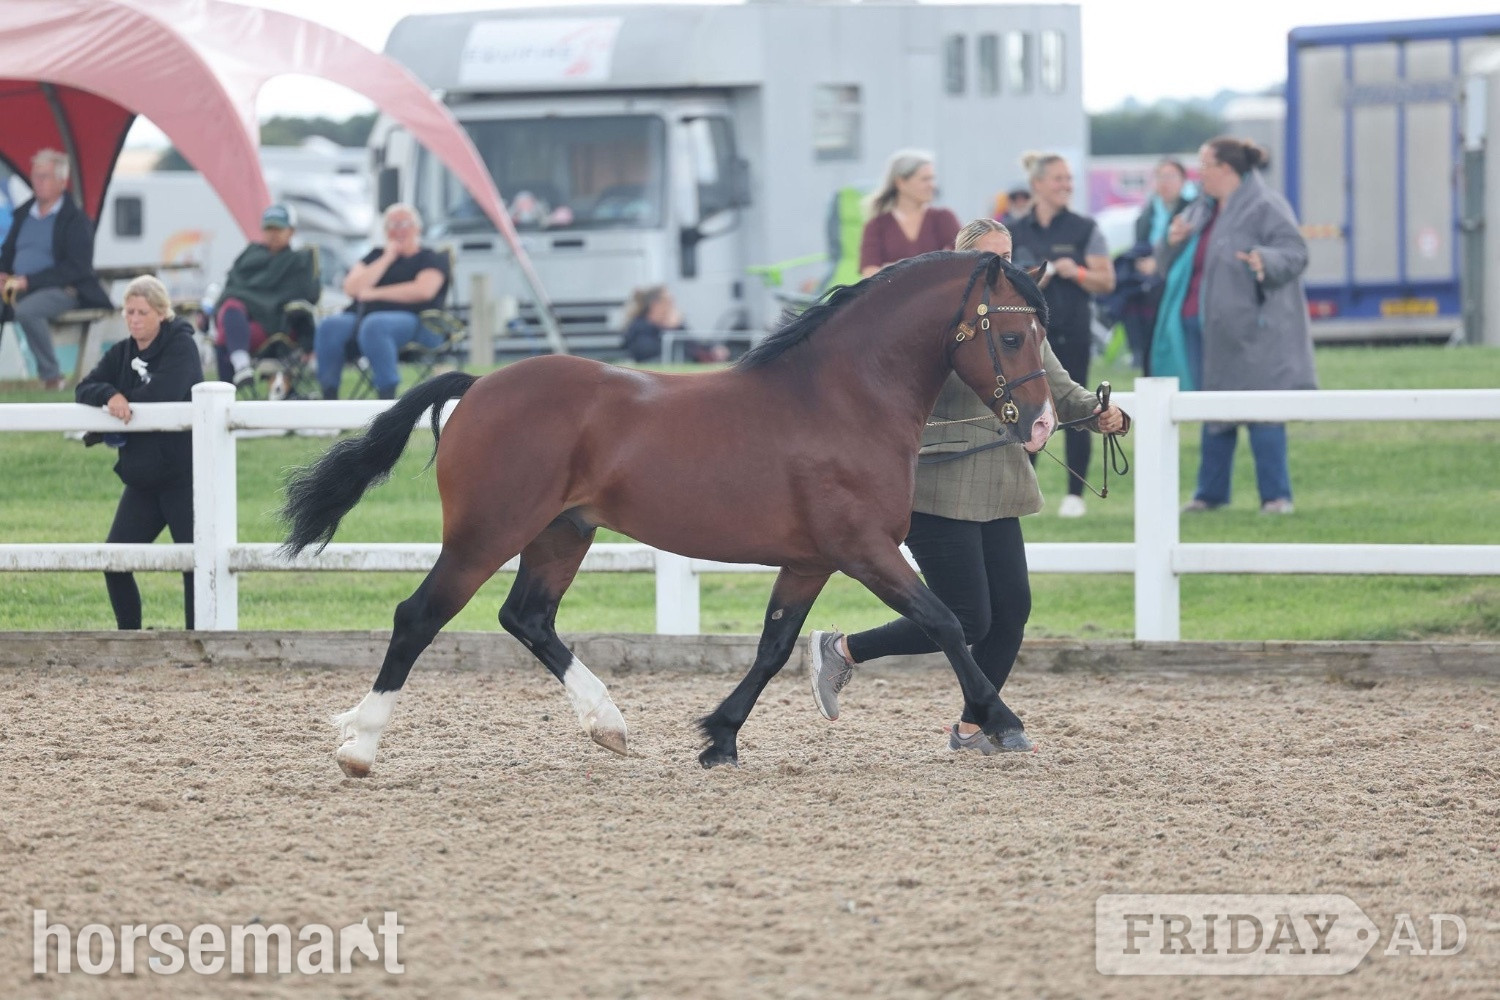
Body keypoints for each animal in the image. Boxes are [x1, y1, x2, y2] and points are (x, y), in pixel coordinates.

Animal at [280, 250, 1055, 776]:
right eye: (1014, 336)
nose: (1042, 424)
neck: (841, 398)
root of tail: (479, 386)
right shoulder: (863, 549)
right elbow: (946, 622)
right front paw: (1003, 721)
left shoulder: (808, 562)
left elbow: (773, 647)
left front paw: (720, 737)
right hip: (485, 534)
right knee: (419, 617)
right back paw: (359, 745)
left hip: (562, 534)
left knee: (527, 618)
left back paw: (608, 724)